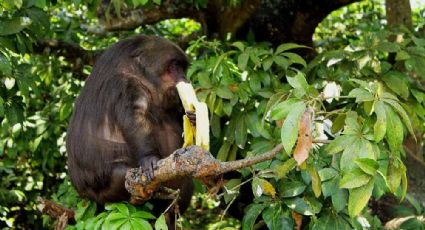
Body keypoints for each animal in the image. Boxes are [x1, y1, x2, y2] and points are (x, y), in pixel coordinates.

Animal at [66, 35, 194, 226]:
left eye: (182, 68)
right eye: (174, 67)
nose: (184, 78)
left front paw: (194, 117)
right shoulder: (126, 85)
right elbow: (135, 117)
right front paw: (149, 157)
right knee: (120, 174)